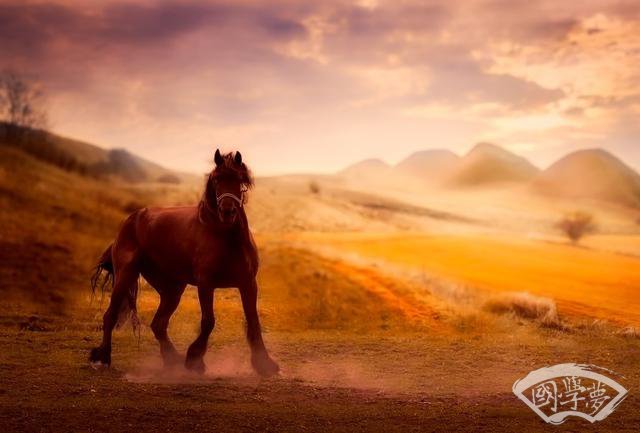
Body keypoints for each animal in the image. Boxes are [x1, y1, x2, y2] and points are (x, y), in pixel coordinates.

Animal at [90, 148, 280, 374]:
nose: (227, 211)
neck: (224, 236)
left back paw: (173, 359)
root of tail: (131, 219)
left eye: (240, 180)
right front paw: (195, 358)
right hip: (125, 276)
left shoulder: (248, 283)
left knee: (158, 324)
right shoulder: (206, 284)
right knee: (110, 316)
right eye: (216, 179)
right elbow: (208, 321)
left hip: (173, 288)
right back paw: (102, 358)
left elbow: (253, 320)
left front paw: (264, 363)